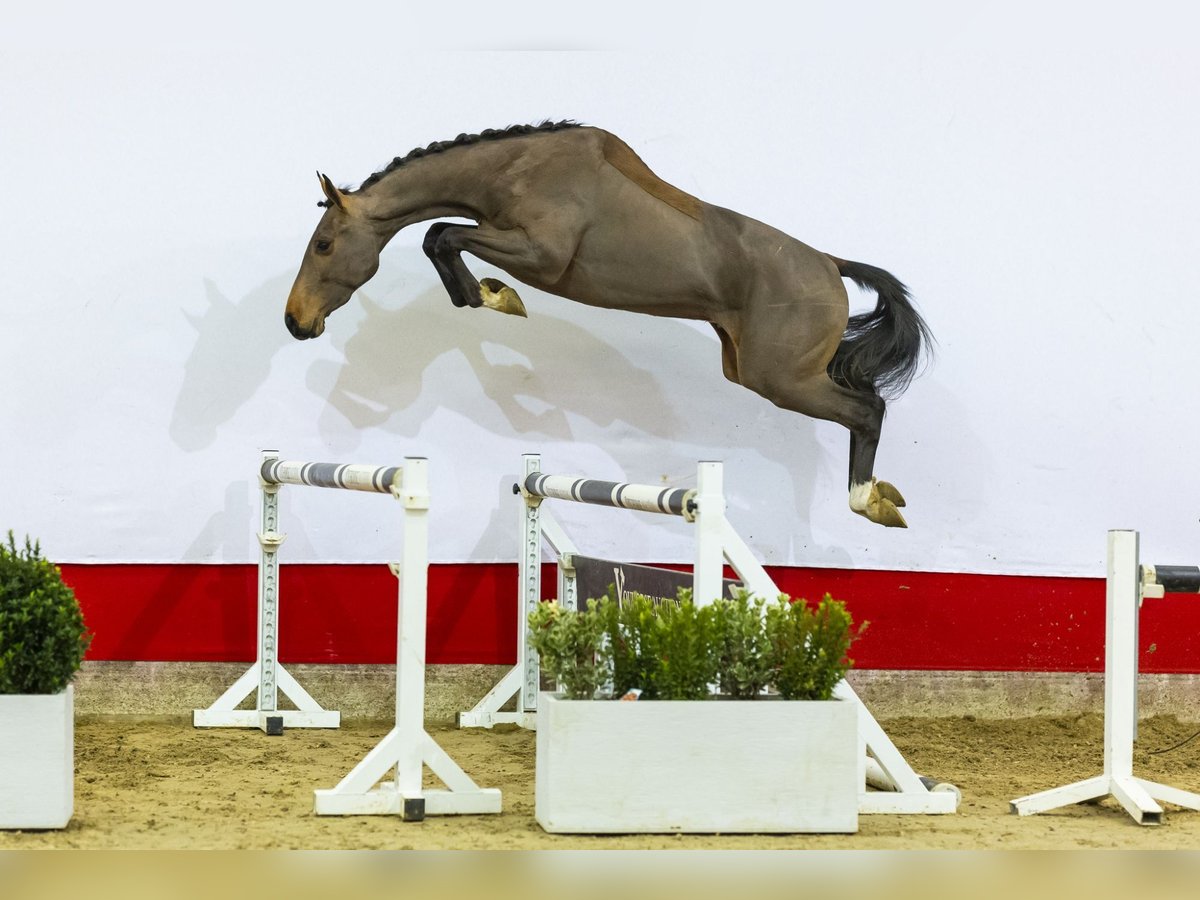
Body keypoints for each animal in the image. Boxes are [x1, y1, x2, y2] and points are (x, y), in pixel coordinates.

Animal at [285, 120, 931, 528]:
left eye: (323, 244)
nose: (295, 322)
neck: (516, 169)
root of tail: (829, 264)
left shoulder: (540, 254)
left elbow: (441, 234)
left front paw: (496, 297)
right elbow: (440, 236)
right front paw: (489, 296)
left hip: (781, 379)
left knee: (867, 409)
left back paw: (869, 501)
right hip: (752, 369)